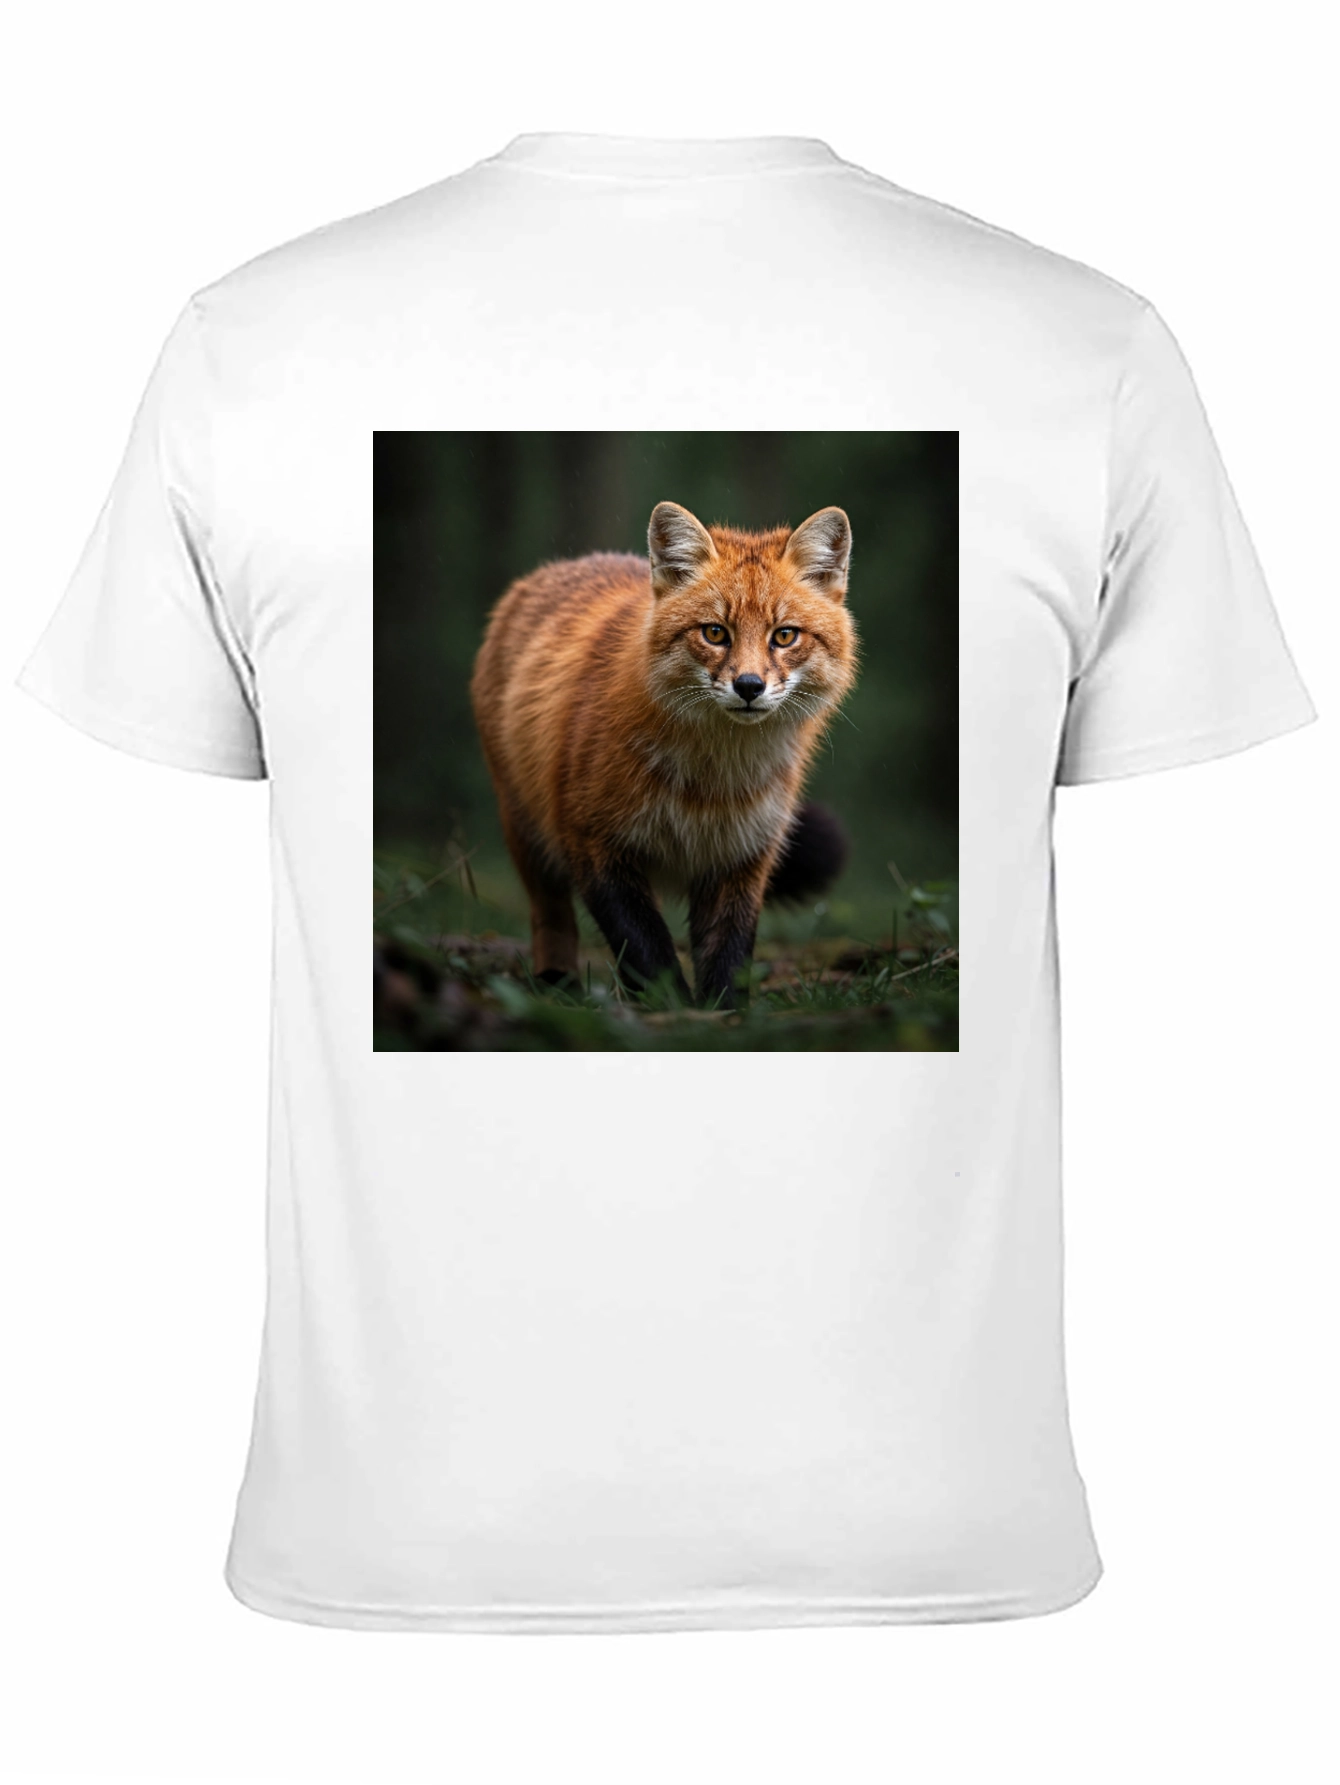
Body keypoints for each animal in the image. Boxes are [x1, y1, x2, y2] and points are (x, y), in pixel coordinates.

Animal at [470, 500, 859, 1007]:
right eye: (715, 633)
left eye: (784, 636)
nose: (749, 686)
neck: (709, 787)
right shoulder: (593, 843)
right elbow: (647, 950)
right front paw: (673, 1011)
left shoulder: (743, 855)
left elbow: (728, 954)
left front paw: (723, 1014)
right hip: (526, 832)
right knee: (550, 916)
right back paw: (558, 982)